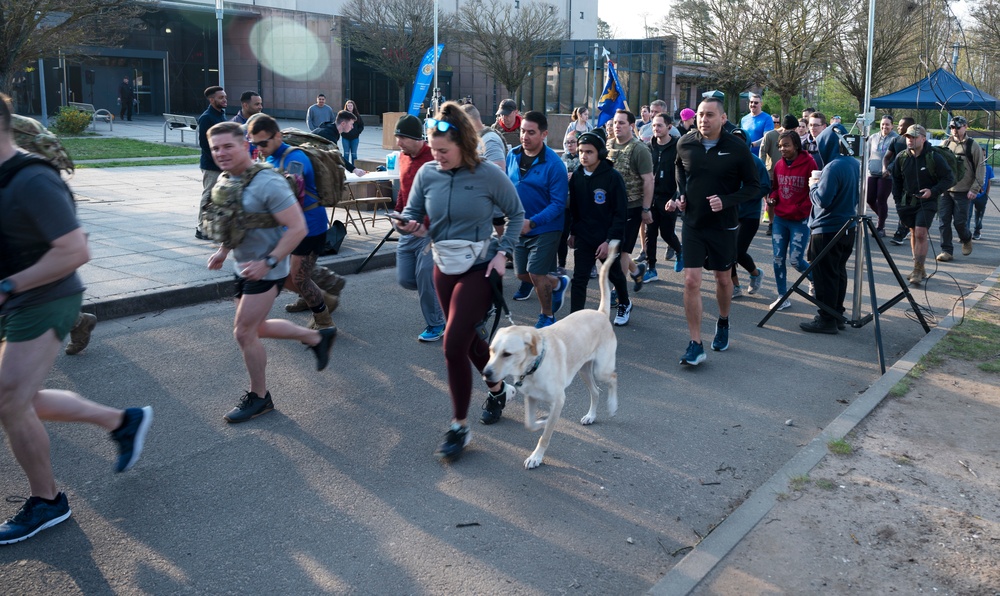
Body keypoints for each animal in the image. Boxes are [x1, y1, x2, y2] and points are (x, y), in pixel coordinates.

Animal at [482, 240, 616, 468]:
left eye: (507, 354)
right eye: (491, 351)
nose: (486, 373)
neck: (535, 366)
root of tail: (600, 313)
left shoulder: (559, 400)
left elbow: (545, 436)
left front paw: (536, 457)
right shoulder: (531, 397)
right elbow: (530, 423)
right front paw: (542, 420)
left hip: (601, 369)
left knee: (613, 378)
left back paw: (613, 406)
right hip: (584, 371)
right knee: (596, 392)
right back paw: (590, 416)